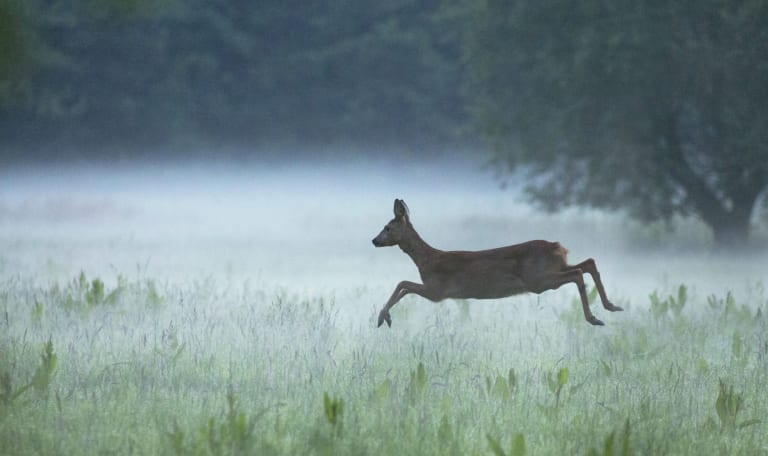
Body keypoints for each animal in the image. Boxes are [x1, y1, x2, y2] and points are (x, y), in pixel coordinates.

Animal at [372, 200, 624, 328]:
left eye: (387, 227)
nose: (374, 240)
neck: (426, 260)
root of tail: (558, 247)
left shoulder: (437, 290)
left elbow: (403, 284)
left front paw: (382, 317)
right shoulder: (434, 290)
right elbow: (404, 287)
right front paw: (386, 316)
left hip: (538, 280)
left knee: (579, 272)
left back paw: (594, 318)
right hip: (552, 269)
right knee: (588, 263)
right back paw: (611, 306)